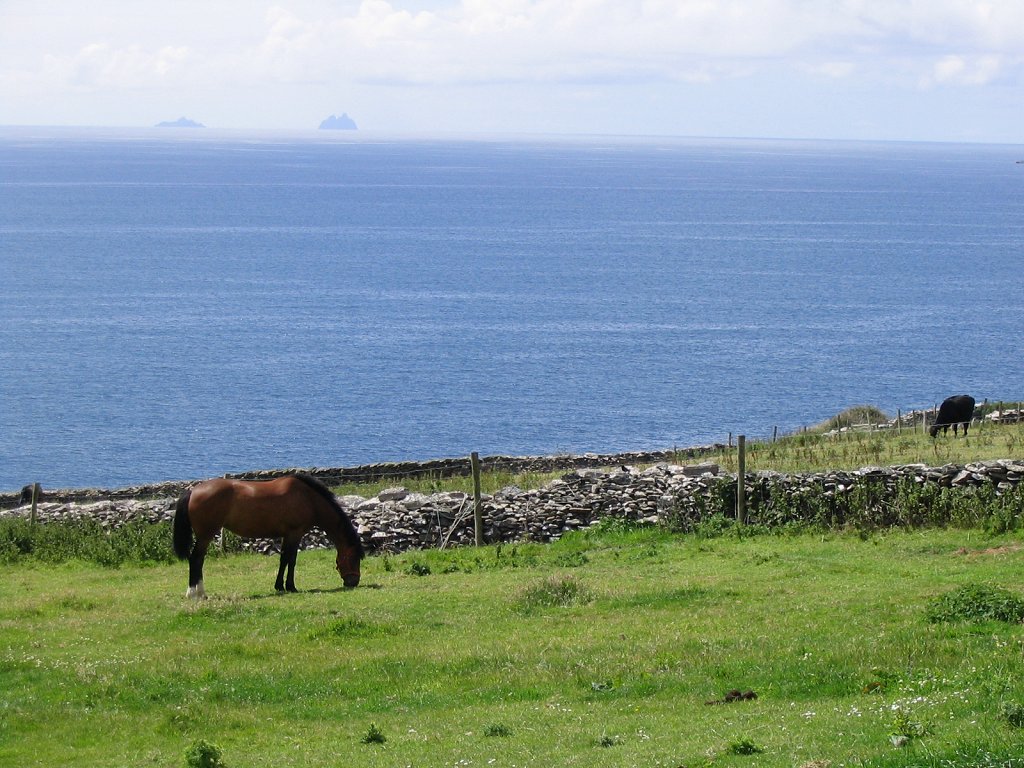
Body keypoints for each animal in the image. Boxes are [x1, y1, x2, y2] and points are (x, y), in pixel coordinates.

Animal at [175, 475, 364, 602]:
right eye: (354, 558)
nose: (353, 582)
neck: (308, 498)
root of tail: (193, 491)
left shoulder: (287, 535)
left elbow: (283, 560)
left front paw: (280, 586)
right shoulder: (295, 533)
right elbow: (291, 560)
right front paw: (291, 586)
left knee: (198, 560)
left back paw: (200, 593)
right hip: (205, 535)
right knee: (196, 559)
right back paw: (194, 594)